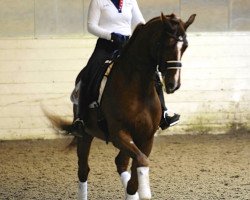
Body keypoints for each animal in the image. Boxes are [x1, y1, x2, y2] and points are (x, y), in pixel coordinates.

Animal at [47, 13, 195, 199]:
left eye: (185, 47)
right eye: (166, 44)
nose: (173, 84)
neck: (139, 89)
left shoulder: (146, 137)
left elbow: (138, 164)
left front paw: (136, 191)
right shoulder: (118, 134)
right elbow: (142, 161)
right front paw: (143, 190)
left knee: (120, 162)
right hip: (85, 134)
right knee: (83, 169)